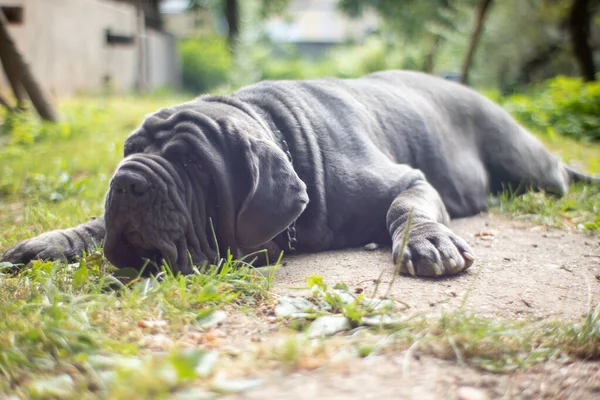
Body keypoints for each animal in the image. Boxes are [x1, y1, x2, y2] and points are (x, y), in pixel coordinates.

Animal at [2, 70, 596, 276]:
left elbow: (406, 206)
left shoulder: (408, 180)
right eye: (130, 150)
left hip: (529, 165)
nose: (126, 181)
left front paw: (429, 241)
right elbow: (95, 225)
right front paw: (49, 242)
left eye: (192, 163)